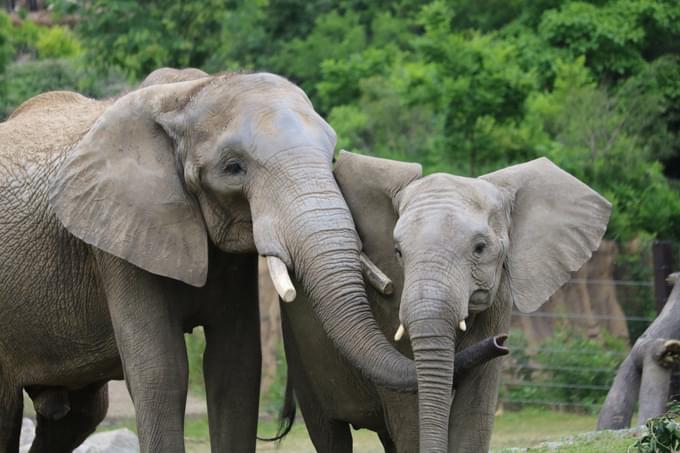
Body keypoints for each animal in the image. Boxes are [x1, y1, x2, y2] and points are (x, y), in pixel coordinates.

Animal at [0, 69, 418, 450]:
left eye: (331, 157)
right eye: (233, 168)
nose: (390, 287)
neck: (188, 94)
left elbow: (234, 366)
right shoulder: (118, 240)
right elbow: (161, 372)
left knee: (79, 416)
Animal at [280, 150, 612, 450]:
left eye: (480, 248)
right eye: (398, 252)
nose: (500, 343)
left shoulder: (499, 299)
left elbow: (473, 416)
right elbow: (410, 418)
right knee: (329, 432)